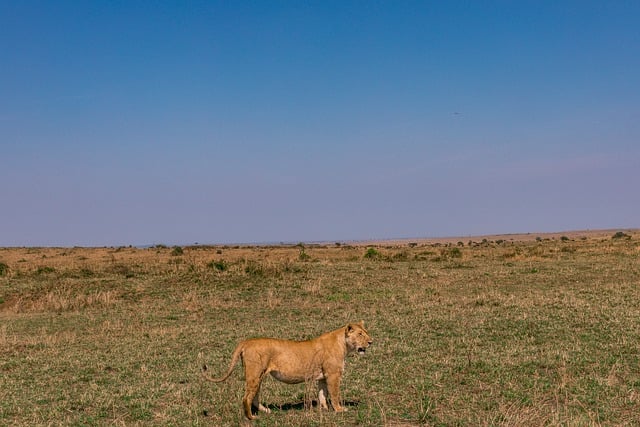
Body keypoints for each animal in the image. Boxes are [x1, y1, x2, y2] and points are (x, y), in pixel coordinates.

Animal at [202, 321, 372, 420]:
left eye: (366, 332)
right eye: (360, 334)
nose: (371, 342)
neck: (344, 345)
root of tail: (246, 341)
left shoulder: (323, 376)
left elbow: (322, 394)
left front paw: (324, 409)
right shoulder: (333, 375)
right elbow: (335, 394)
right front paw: (339, 409)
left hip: (259, 375)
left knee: (254, 395)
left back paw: (265, 411)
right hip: (254, 373)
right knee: (246, 397)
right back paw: (251, 418)